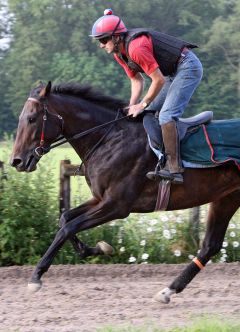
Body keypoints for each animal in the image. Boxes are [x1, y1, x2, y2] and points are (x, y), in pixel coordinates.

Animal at [10, 81, 240, 304]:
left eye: (31, 118)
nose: (16, 161)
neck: (109, 138)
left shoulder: (116, 206)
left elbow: (67, 228)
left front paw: (36, 276)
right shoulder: (100, 199)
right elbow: (65, 218)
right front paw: (98, 249)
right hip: (226, 198)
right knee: (210, 245)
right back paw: (168, 290)